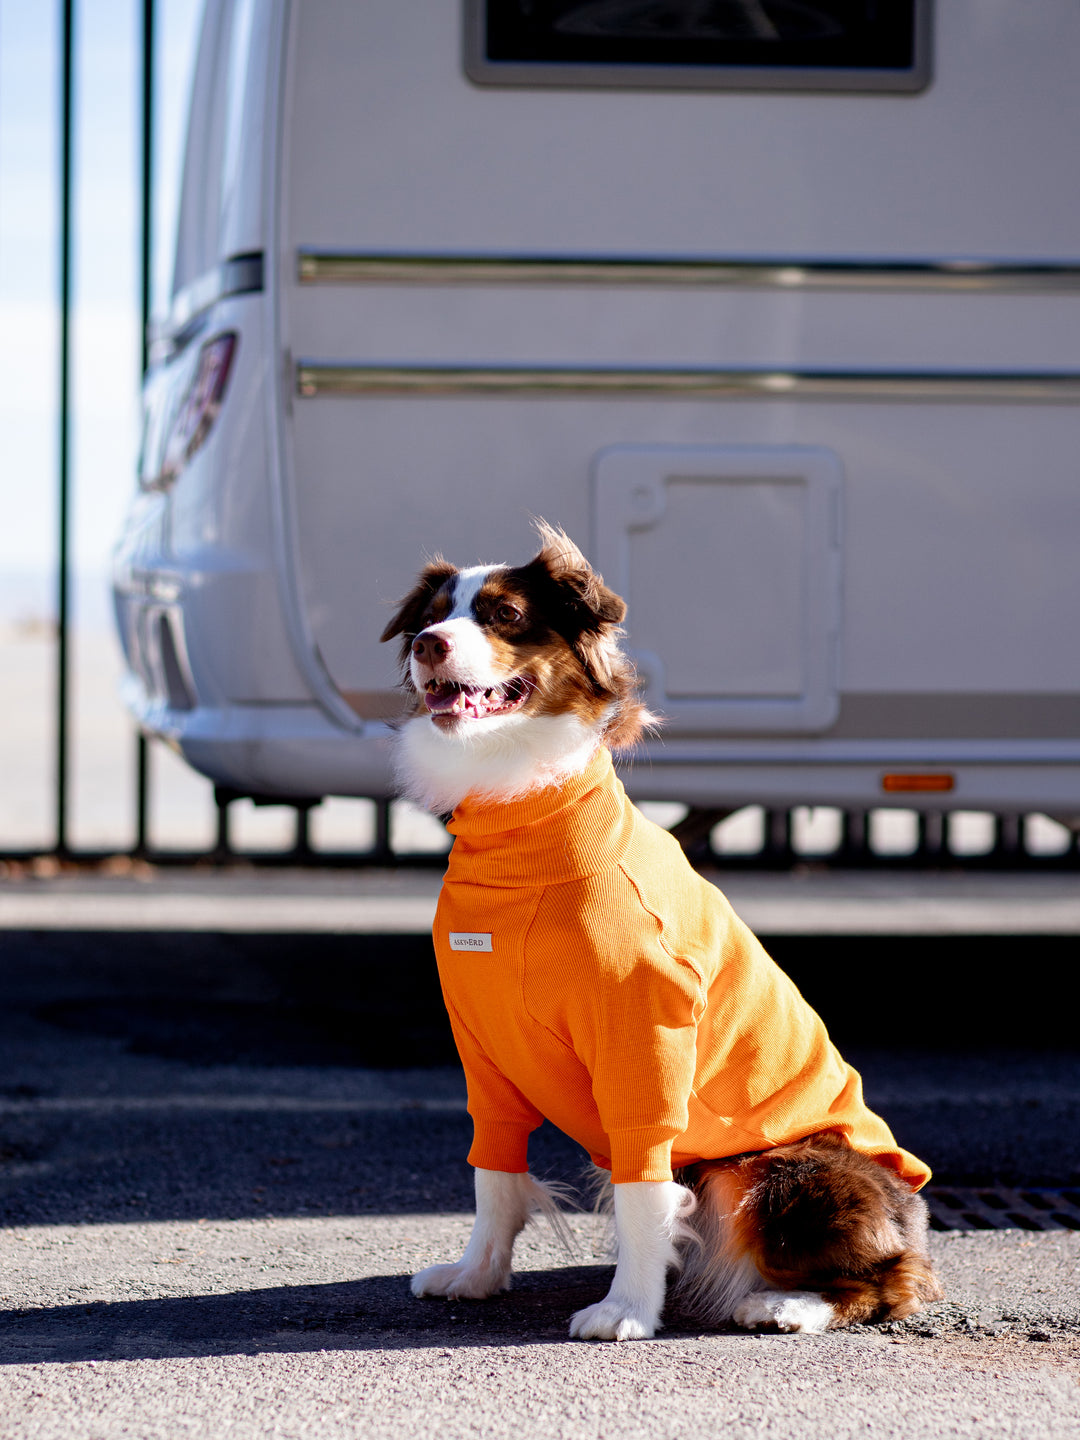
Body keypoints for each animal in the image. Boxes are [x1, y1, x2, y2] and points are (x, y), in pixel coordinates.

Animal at [385, 524, 944, 1342]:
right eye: (431, 616)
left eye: (504, 615)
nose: (429, 644)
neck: (519, 820)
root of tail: (915, 1215)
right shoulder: (484, 1046)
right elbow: (495, 1173)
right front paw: (477, 1274)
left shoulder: (643, 1041)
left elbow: (643, 1193)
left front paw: (626, 1309)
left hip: (775, 1171)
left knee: (894, 1280)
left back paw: (784, 1304)